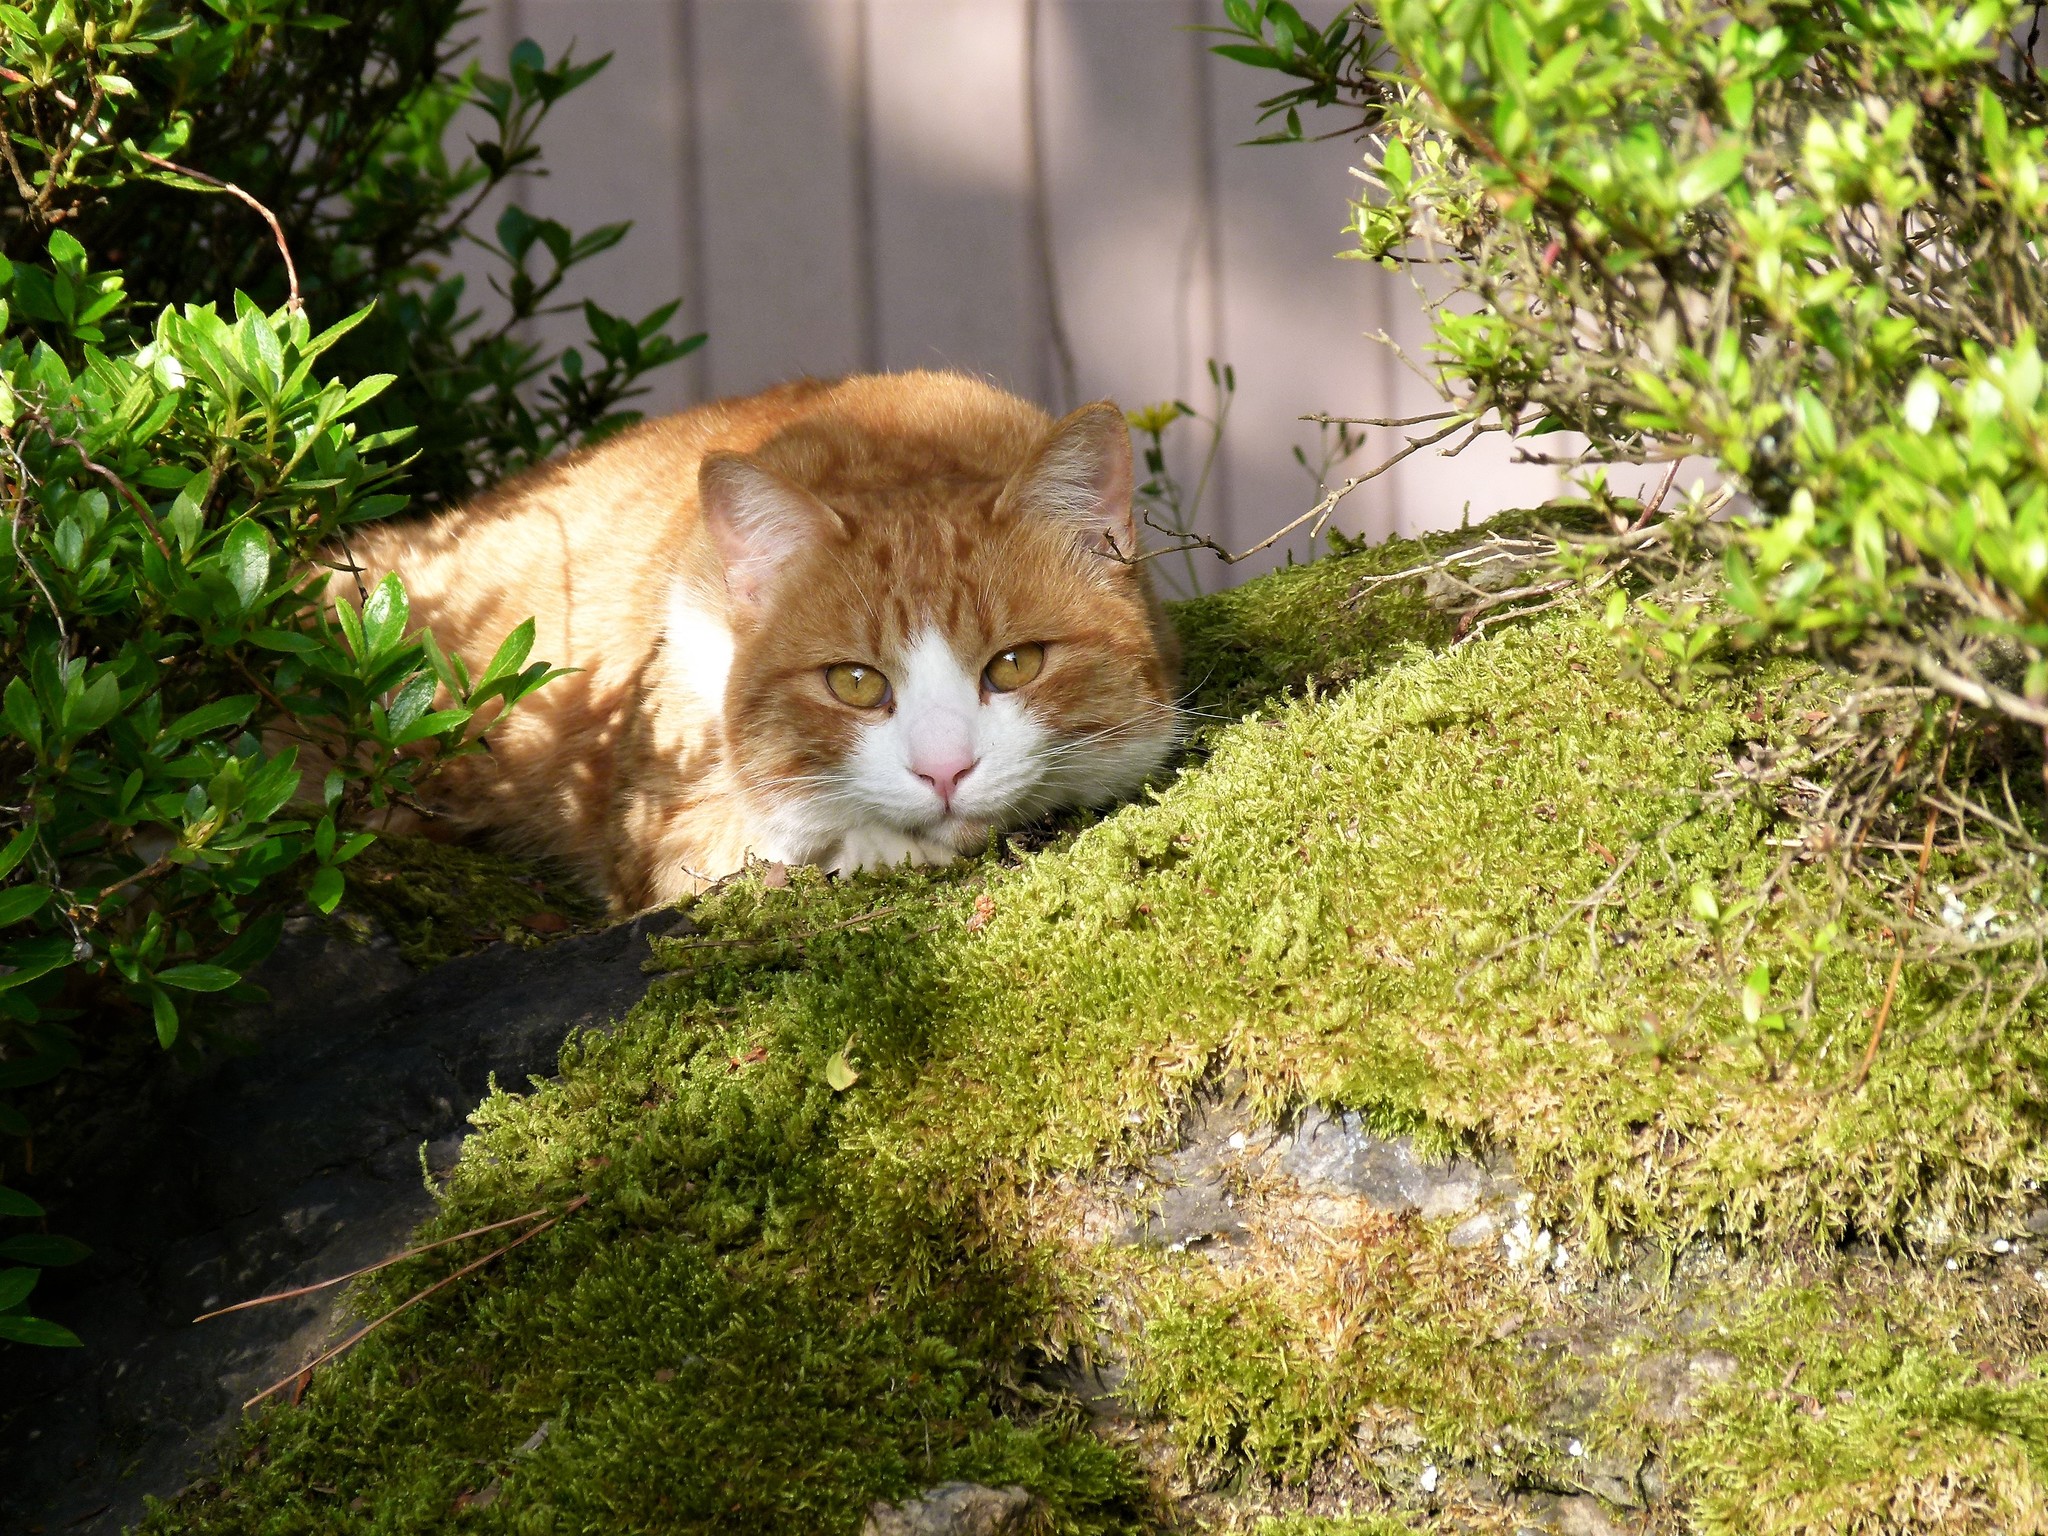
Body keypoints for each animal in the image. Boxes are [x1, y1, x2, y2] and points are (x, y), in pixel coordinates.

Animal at [337, 366, 1187, 909]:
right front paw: (878, 841)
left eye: (1015, 665)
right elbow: (780, 828)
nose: (944, 772)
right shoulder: (660, 830)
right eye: (855, 683)